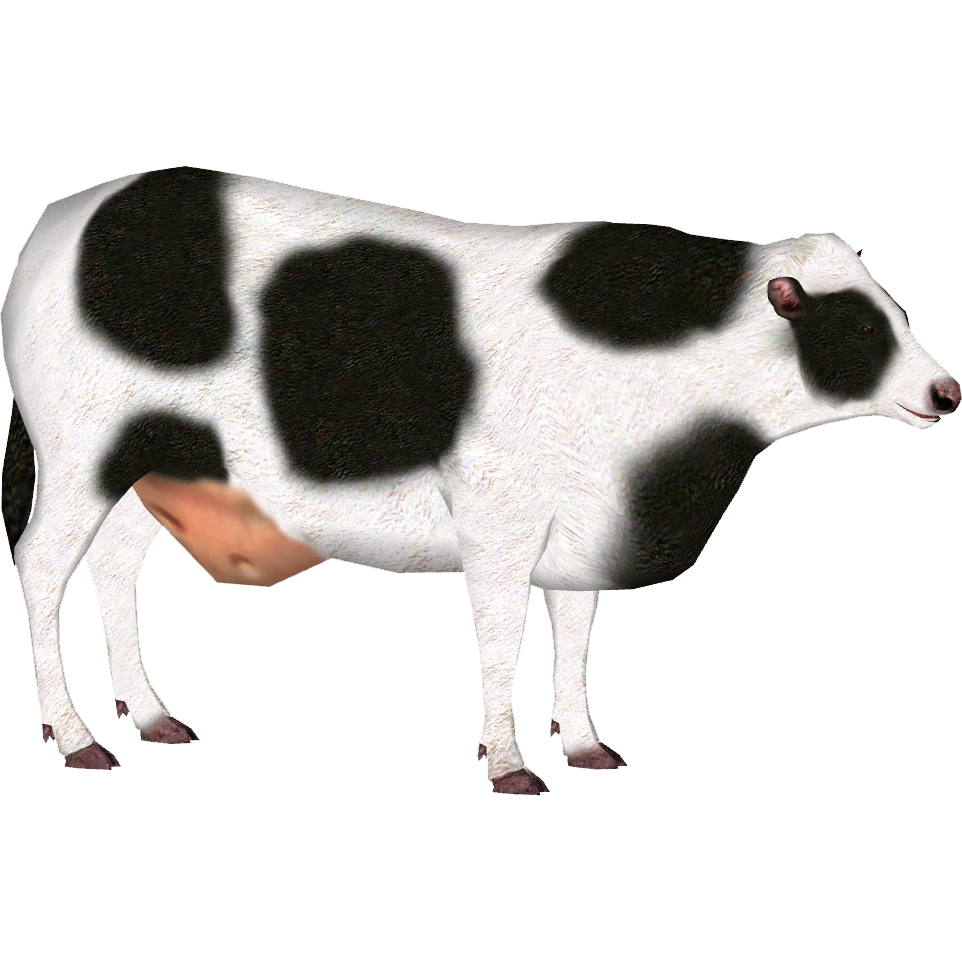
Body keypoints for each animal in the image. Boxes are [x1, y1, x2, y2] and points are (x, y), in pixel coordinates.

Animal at [1, 164, 957, 795]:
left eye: (897, 307)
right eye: (858, 326)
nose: (945, 390)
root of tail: (76, 210)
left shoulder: (589, 514)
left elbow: (573, 636)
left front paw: (584, 746)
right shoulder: (500, 512)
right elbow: (501, 637)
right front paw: (506, 764)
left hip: (160, 461)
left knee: (115, 565)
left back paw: (149, 715)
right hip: (84, 447)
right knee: (44, 564)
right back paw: (77, 736)